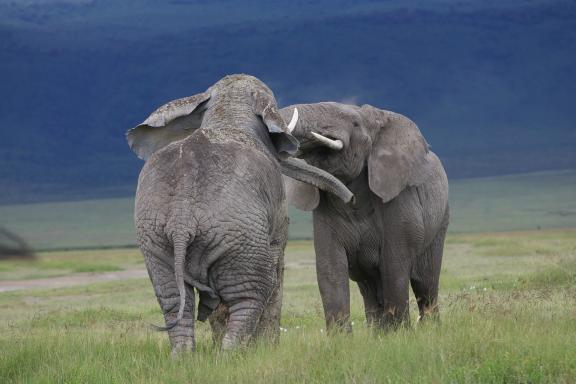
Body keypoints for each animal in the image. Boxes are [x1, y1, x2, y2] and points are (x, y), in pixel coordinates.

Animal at [126, 75, 354, 354]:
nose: (350, 198)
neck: (228, 111)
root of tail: (181, 220)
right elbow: (276, 261)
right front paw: (268, 349)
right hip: (238, 234)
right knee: (250, 293)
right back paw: (232, 354)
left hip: (156, 237)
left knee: (173, 299)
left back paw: (186, 356)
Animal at [280, 101, 450, 330]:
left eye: (355, 123)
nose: (349, 198)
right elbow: (330, 268)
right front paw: (340, 337)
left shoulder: (397, 200)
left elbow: (394, 266)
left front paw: (401, 334)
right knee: (369, 288)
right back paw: (377, 332)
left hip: (440, 221)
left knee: (426, 282)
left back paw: (429, 329)